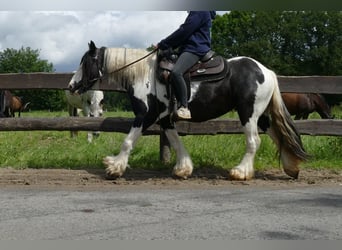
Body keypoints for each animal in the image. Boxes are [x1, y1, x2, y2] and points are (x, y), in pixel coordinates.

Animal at [68, 42, 308, 181]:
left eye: (85, 62)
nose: (71, 86)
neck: (144, 75)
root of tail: (267, 71)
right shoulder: (165, 119)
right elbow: (176, 142)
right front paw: (183, 168)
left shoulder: (146, 115)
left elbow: (128, 141)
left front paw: (114, 167)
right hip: (261, 115)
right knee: (278, 136)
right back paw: (291, 167)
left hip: (248, 113)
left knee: (253, 141)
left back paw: (240, 172)